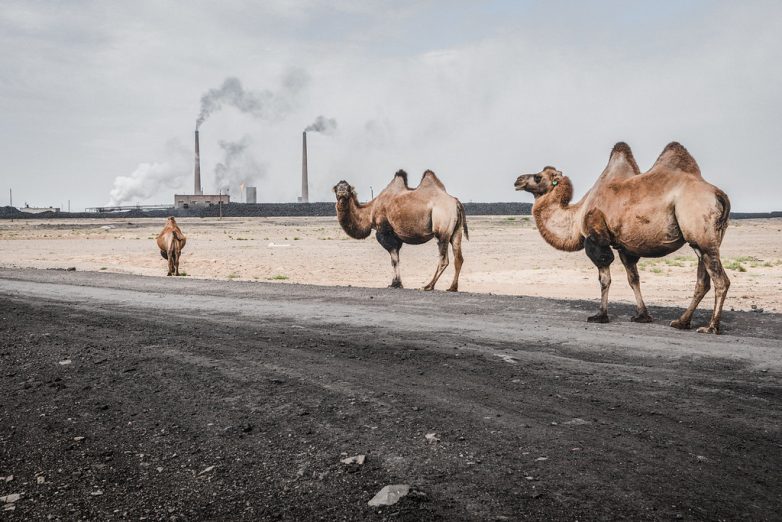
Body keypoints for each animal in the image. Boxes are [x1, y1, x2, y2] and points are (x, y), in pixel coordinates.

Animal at [334, 171, 468, 292]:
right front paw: (396, 283)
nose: (342, 193)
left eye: (348, 188)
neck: (370, 212)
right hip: (456, 232)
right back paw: (452, 287)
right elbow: (396, 259)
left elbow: (394, 260)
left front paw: (396, 284)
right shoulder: (396, 237)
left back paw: (428, 286)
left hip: (442, 230)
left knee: (444, 259)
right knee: (458, 258)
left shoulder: (385, 232)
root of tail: (456, 203)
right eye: (336, 188)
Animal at [516, 139, 732, 334]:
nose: (517, 180)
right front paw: (642, 315)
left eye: (537, 177)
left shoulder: (596, 239)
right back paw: (681, 322)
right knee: (703, 281)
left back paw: (711, 327)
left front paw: (600, 315)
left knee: (721, 280)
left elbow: (605, 278)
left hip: (701, 233)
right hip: (707, 238)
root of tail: (719, 194)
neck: (577, 215)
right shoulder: (624, 247)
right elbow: (633, 278)